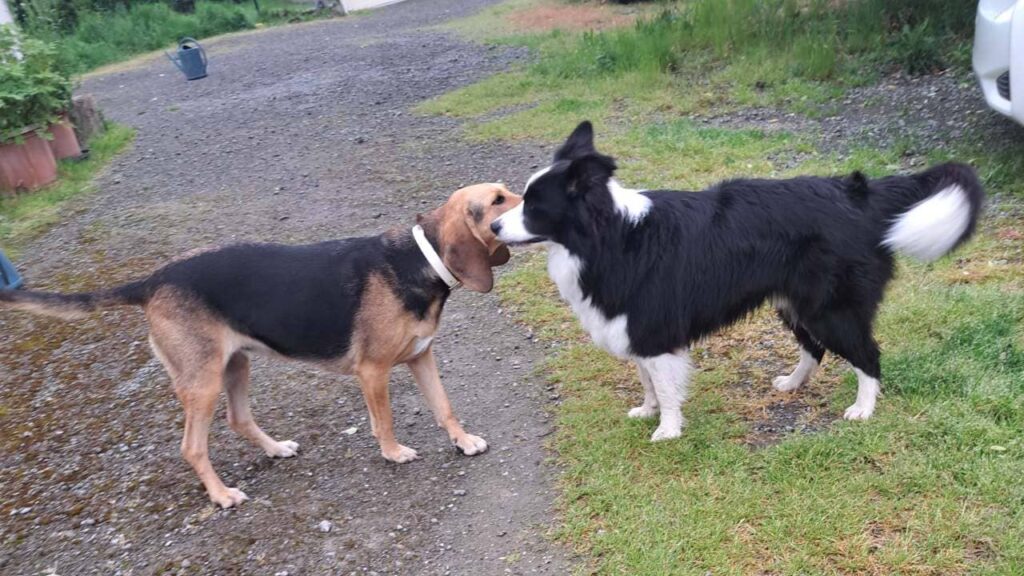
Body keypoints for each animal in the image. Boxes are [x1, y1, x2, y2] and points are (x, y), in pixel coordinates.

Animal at [2, 181, 520, 504]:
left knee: (238, 419)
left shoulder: (421, 356)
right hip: (203, 382)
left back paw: (275, 449)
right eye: (498, 199)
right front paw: (394, 454)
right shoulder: (372, 372)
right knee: (192, 448)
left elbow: (444, 406)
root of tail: (153, 280)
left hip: (236, 365)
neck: (420, 258)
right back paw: (222, 495)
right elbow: (385, 422)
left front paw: (462, 441)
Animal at [491, 121, 987, 438]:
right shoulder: (632, 327)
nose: (493, 227)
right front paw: (647, 411)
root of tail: (860, 193)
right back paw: (793, 383)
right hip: (795, 303)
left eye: (534, 206)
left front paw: (667, 430)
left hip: (831, 308)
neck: (610, 235)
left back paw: (863, 409)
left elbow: (665, 385)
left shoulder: (654, 329)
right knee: (815, 349)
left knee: (867, 354)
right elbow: (646, 379)